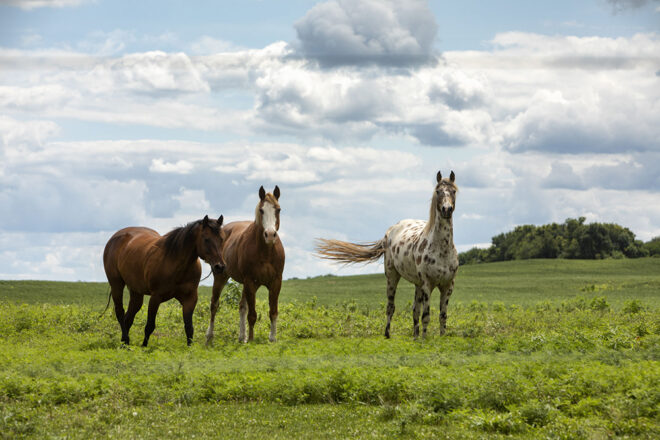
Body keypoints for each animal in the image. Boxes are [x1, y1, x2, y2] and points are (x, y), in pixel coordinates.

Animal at [103, 215, 226, 347]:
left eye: (222, 239)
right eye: (206, 239)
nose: (220, 266)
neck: (176, 263)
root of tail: (115, 238)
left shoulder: (190, 299)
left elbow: (189, 327)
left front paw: (190, 348)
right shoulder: (155, 297)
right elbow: (149, 326)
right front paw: (144, 347)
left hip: (136, 291)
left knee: (129, 317)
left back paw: (124, 343)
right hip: (116, 284)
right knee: (120, 312)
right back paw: (126, 340)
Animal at [206, 186, 285, 344]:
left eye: (278, 209)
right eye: (261, 210)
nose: (270, 234)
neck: (266, 251)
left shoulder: (276, 281)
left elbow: (273, 311)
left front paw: (272, 338)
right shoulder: (250, 282)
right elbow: (252, 314)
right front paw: (252, 339)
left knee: (242, 307)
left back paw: (242, 336)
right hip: (221, 277)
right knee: (214, 305)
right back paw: (210, 336)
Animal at [315, 171, 459, 339]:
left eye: (453, 191)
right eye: (438, 191)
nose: (446, 209)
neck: (441, 250)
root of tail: (392, 229)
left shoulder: (448, 286)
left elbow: (442, 315)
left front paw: (441, 338)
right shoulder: (427, 284)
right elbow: (426, 315)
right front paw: (425, 339)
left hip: (417, 284)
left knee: (415, 310)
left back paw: (415, 336)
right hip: (392, 276)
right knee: (391, 307)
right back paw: (388, 334)